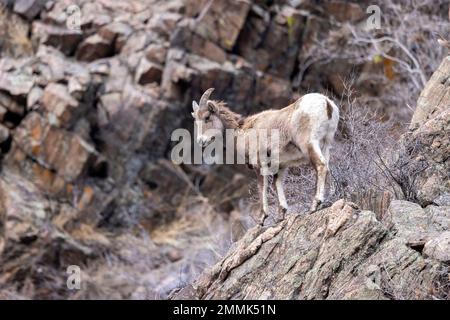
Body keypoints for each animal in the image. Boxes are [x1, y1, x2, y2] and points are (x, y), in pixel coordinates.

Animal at [192, 86, 340, 224]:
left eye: (207, 117)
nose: (201, 141)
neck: (242, 132)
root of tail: (326, 103)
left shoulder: (259, 166)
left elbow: (261, 187)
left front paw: (262, 218)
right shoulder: (280, 167)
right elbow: (277, 185)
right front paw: (280, 216)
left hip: (309, 144)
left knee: (321, 165)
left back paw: (315, 205)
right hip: (325, 145)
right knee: (328, 167)